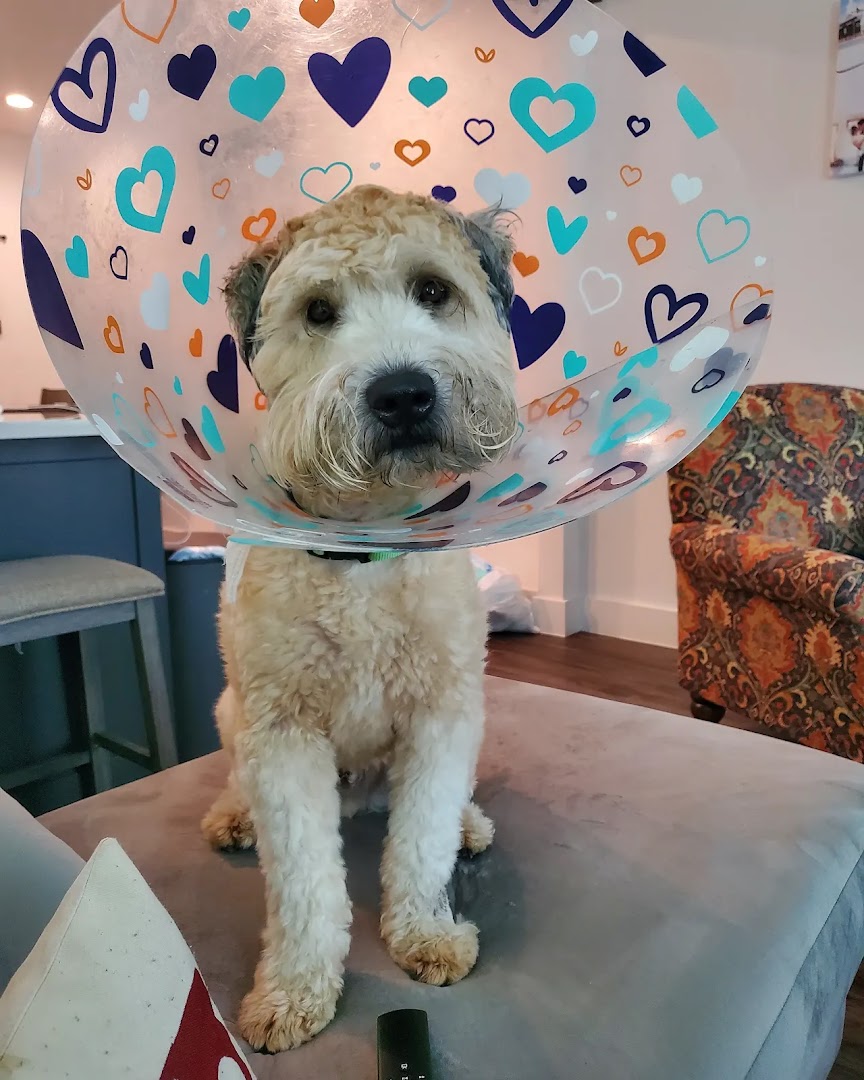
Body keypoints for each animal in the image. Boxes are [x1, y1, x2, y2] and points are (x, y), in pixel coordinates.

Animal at [200, 185, 520, 1053]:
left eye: (434, 290)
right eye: (318, 310)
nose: (403, 393)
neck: (363, 549)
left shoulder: (443, 713)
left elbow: (421, 839)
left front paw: (425, 932)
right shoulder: (282, 734)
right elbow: (305, 883)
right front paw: (292, 991)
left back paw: (470, 823)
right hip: (231, 714)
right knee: (236, 776)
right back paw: (232, 815)